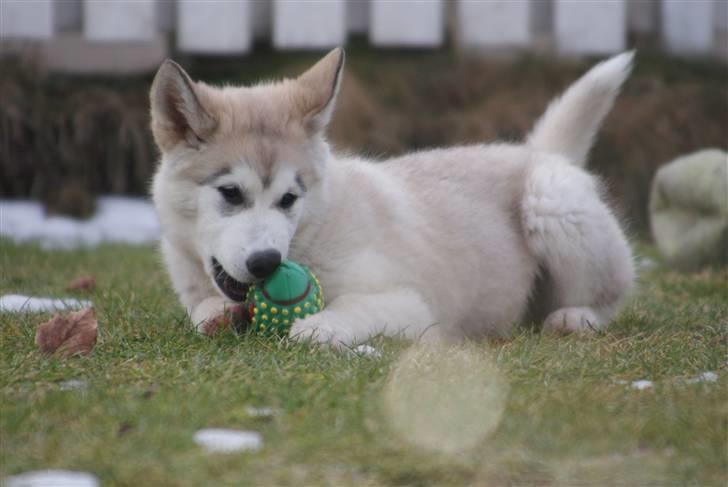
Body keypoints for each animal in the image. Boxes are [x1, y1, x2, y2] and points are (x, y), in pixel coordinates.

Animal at [151, 48, 636, 346]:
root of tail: (537, 152)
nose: (267, 263)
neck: (314, 231)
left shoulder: (412, 304)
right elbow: (204, 310)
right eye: (231, 193)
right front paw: (219, 313)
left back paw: (575, 318)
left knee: (610, 295)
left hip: (552, 202)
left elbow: (351, 309)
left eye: (289, 199)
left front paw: (318, 327)